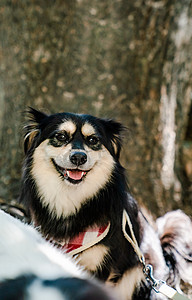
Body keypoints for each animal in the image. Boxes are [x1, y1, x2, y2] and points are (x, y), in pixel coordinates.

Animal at [19, 108, 192, 300]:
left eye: (93, 140)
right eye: (61, 136)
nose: (78, 157)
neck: (72, 198)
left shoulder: (101, 268)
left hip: (140, 277)